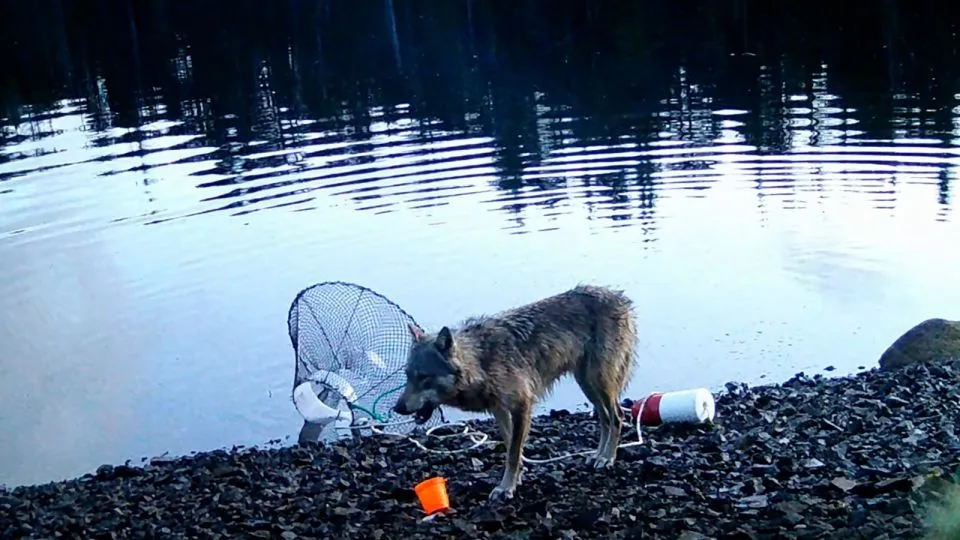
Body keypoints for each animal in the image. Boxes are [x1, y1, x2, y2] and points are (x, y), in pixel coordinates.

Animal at [392, 284, 638, 502]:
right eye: (407, 375)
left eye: (424, 377)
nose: (397, 408)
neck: (480, 362)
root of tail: (620, 298)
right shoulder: (500, 411)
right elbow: (512, 447)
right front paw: (516, 480)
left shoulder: (522, 407)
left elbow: (512, 453)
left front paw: (506, 489)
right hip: (588, 385)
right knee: (605, 419)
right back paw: (598, 456)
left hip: (599, 383)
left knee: (618, 417)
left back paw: (607, 458)